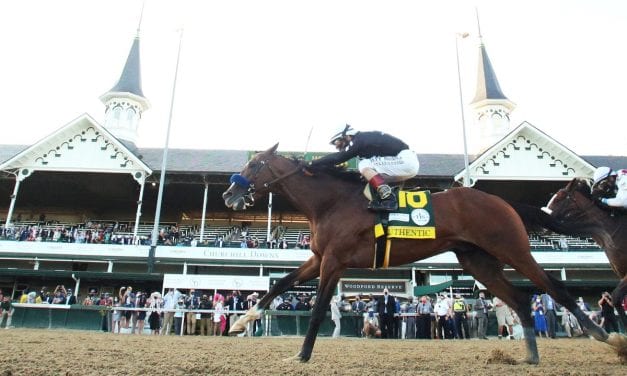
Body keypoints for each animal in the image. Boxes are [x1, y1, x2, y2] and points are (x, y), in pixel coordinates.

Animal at [221, 146, 624, 364]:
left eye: (253, 165)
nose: (228, 195)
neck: (331, 202)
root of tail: (502, 201)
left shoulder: (335, 262)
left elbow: (319, 309)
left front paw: (302, 354)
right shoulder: (319, 259)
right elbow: (280, 284)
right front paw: (242, 323)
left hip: (512, 249)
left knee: (554, 286)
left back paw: (600, 333)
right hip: (478, 261)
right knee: (522, 299)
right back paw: (531, 355)